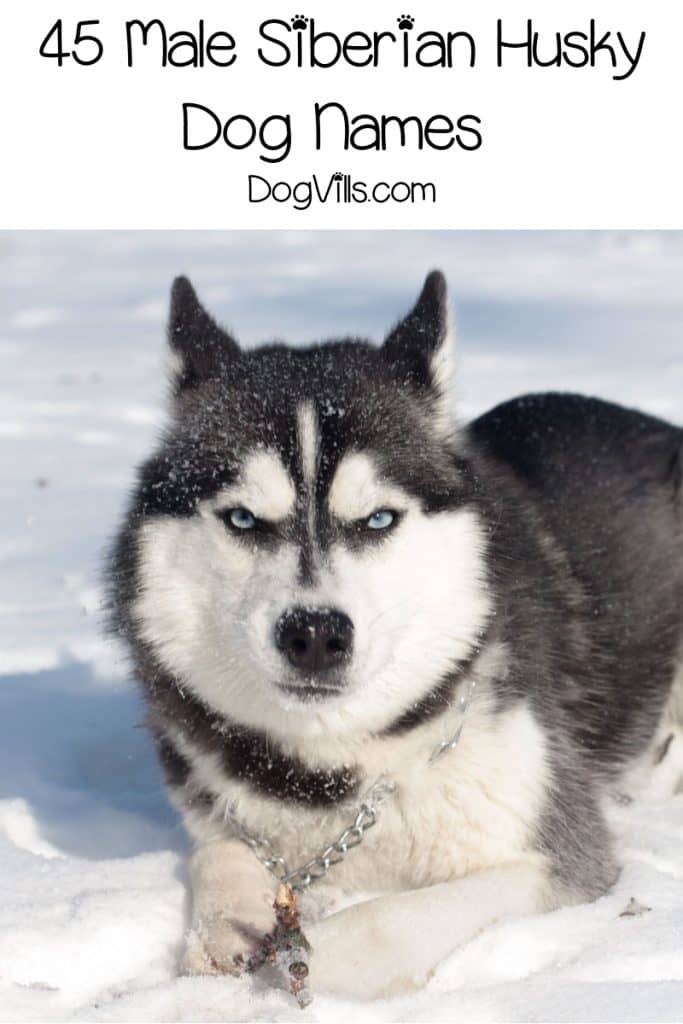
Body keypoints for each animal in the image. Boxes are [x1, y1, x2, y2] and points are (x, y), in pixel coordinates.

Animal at [109, 270, 683, 998]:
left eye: (378, 519)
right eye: (242, 519)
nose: (314, 634)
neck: (333, 774)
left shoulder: (558, 861)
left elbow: (378, 923)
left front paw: (305, 959)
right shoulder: (221, 811)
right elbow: (219, 855)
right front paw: (223, 933)